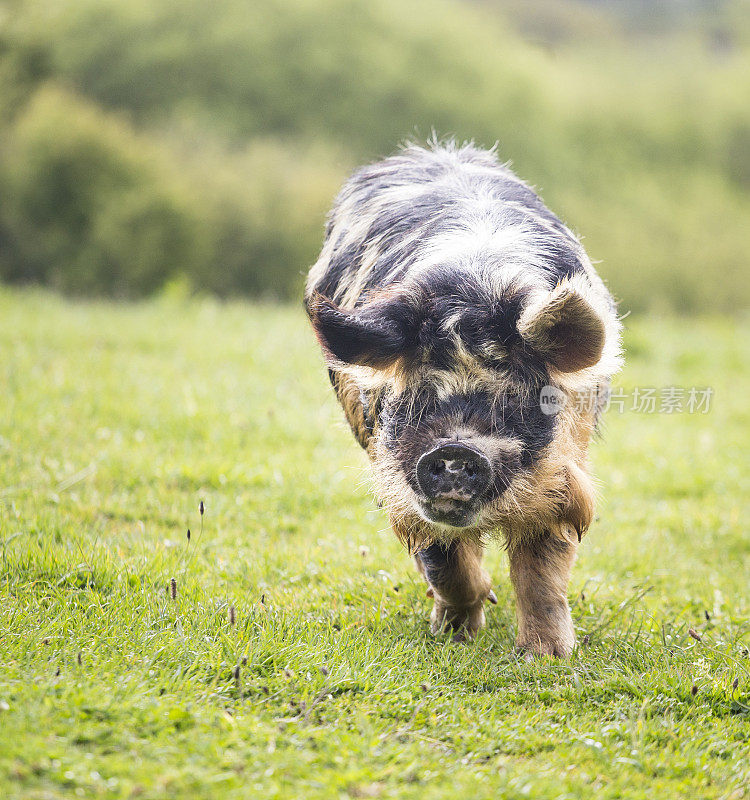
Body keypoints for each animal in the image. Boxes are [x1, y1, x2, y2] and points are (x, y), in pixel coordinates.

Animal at [306, 142, 624, 656]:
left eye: (518, 400)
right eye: (417, 395)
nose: (456, 449)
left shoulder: (562, 474)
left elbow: (543, 570)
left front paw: (545, 656)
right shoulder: (401, 476)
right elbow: (444, 560)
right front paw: (453, 636)